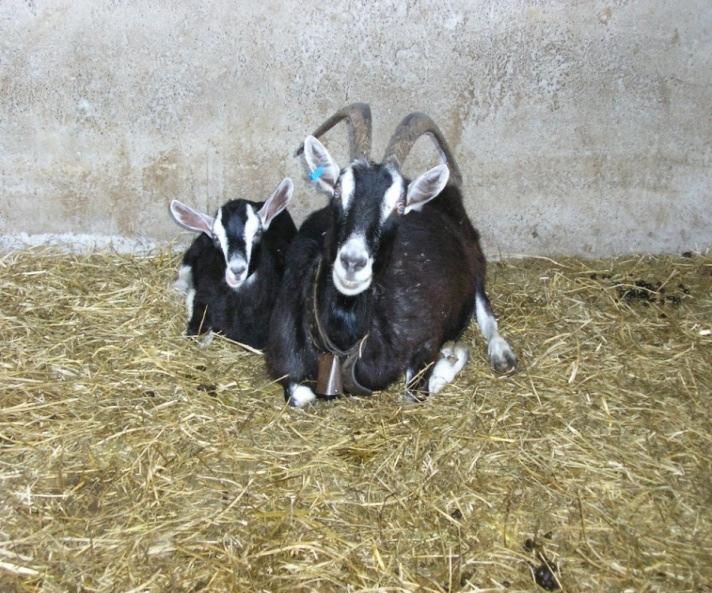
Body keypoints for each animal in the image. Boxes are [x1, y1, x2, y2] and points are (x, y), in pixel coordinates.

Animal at [264, 104, 516, 404]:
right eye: (337, 190)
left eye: (400, 205)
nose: (352, 262)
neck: (343, 341)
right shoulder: (283, 363)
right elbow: (300, 395)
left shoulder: (425, 340)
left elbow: (415, 390)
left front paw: (451, 357)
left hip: (476, 263)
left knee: (486, 312)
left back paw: (502, 354)